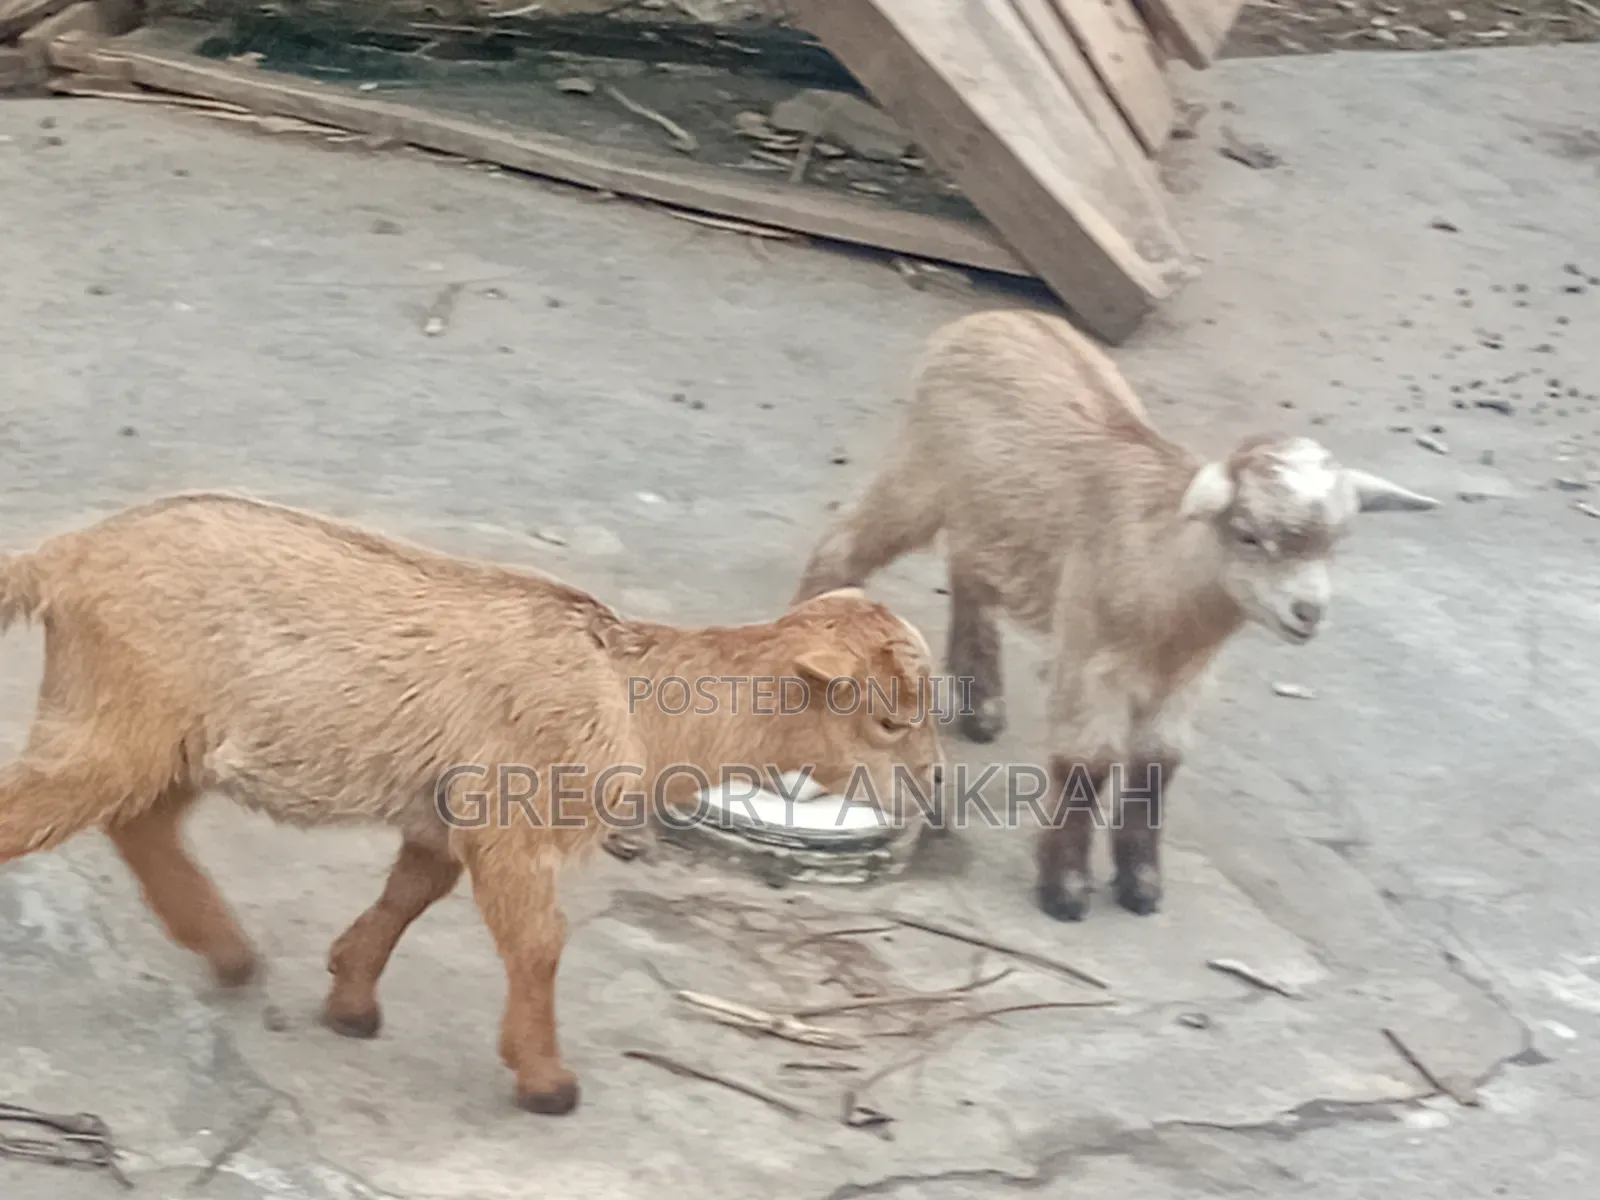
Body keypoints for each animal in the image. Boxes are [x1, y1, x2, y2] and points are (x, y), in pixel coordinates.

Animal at [0, 491, 942, 1115]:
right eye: (891, 719)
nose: (936, 783)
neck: (633, 699)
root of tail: (66, 557)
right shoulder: (513, 817)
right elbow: (539, 942)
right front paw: (546, 1081)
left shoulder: (445, 808)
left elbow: (411, 893)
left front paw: (351, 999)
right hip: (116, 717)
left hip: (162, 735)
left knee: (143, 823)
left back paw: (229, 954)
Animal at [793, 308, 1437, 923]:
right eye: (1249, 536)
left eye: (1336, 544)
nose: (1308, 612)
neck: (1170, 594)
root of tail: (993, 317)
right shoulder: (1090, 657)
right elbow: (1088, 761)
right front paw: (1065, 891)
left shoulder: (1185, 680)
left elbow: (1158, 763)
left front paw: (1141, 885)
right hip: (922, 471)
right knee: (845, 546)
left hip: (991, 510)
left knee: (970, 571)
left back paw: (983, 706)